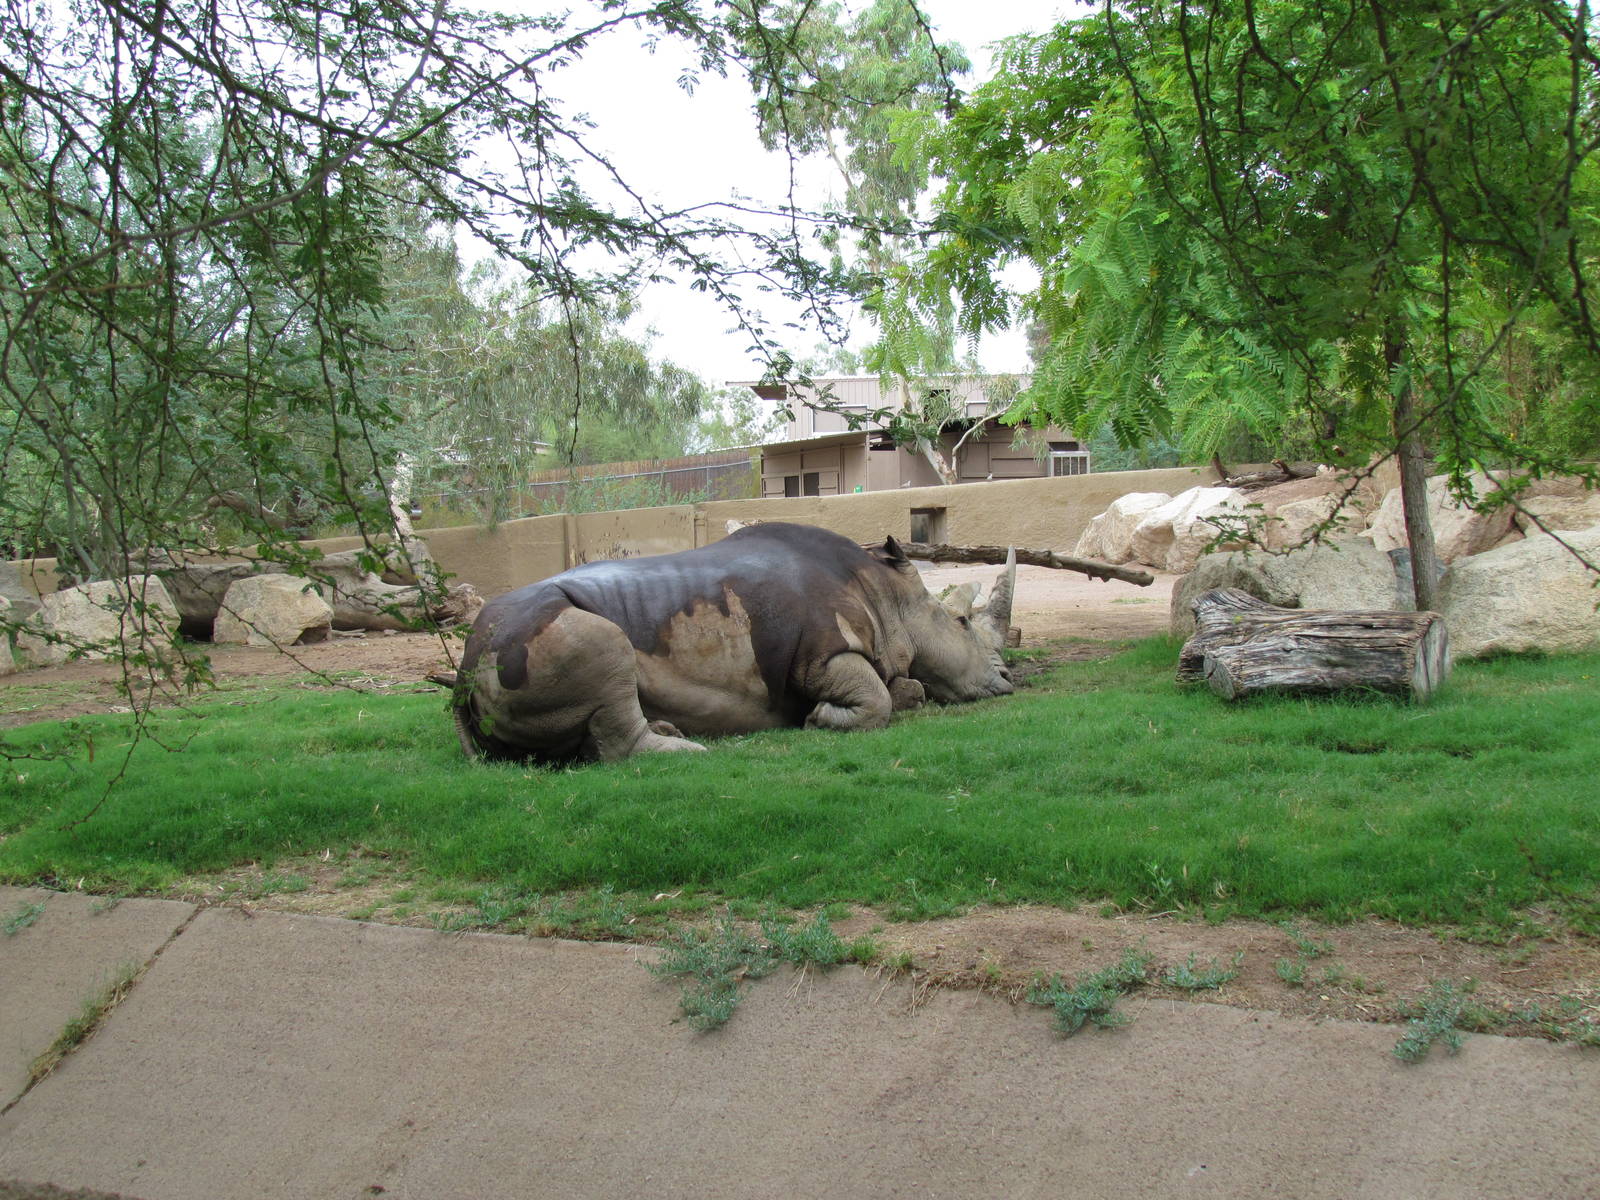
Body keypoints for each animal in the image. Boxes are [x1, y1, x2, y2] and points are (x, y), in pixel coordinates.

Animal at [451, 521, 1016, 762]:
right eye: (962, 621)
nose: (1010, 679)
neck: (887, 593)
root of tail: (463, 666)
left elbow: (904, 689)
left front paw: (897, 696)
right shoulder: (821, 654)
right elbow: (873, 697)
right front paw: (818, 719)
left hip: (504, 645)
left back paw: (667, 728)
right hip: (529, 636)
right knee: (606, 648)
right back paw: (685, 749)